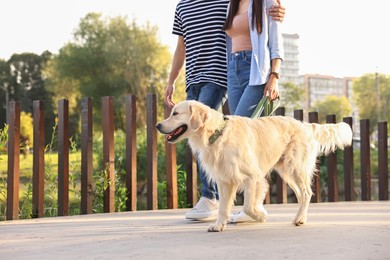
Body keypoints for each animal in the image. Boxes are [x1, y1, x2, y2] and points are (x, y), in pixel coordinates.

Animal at [155, 100, 354, 232]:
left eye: (175, 113)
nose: (158, 125)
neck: (218, 134)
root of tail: (305, 125)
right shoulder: (225, 179)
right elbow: (223, 207)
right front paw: (218, 225)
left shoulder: (253, 177)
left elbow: (248, 206)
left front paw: (259, 216)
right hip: (287, 171)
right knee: (303, 194)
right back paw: (300, 218)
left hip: (295, 167)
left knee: (306, 193)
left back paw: (298, 219)